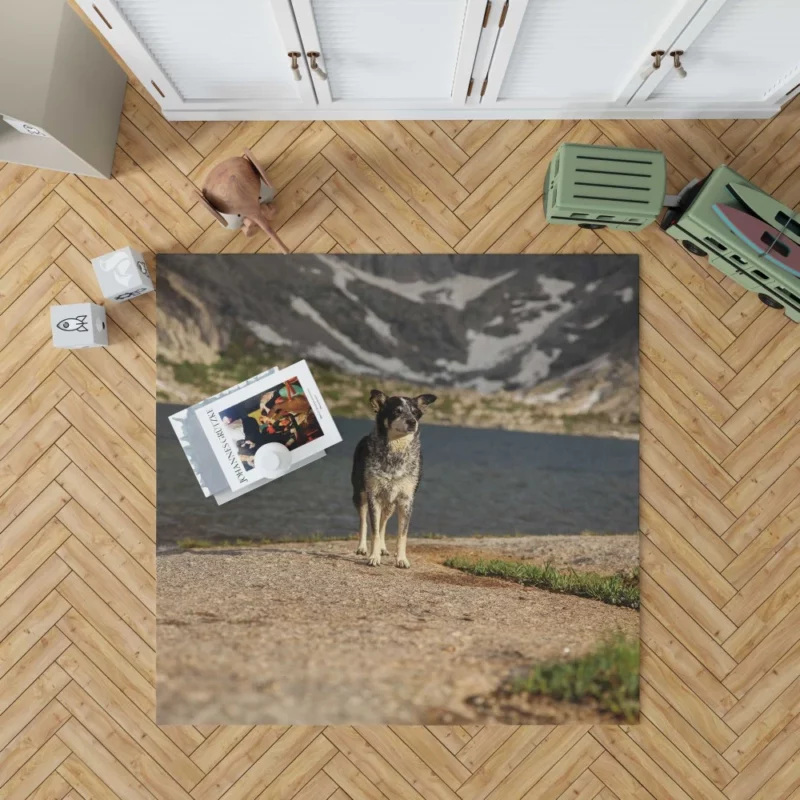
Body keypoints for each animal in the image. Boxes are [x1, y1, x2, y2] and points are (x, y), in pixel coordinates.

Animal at [352, 390, 438, 564]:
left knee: (383, 523)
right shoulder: (374, 496)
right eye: (397, 411)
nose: (412, 422)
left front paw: (401, 559)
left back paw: (383, 549)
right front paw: (374, 557)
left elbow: (402, 534)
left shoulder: (406, 500)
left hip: (390, 503)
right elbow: (374, 531)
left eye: (415, 413)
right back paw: (362, 548)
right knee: (364, 521)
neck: (396, 452)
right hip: (361, 494)